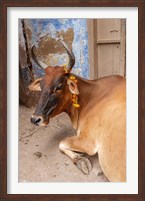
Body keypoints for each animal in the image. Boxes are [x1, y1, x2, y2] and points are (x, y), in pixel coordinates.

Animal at [28, 39, 125, 182]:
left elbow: (61, 143)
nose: (35, 119)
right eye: (41, 85)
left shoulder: (88, 142)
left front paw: (81, 161)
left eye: (59, 87)